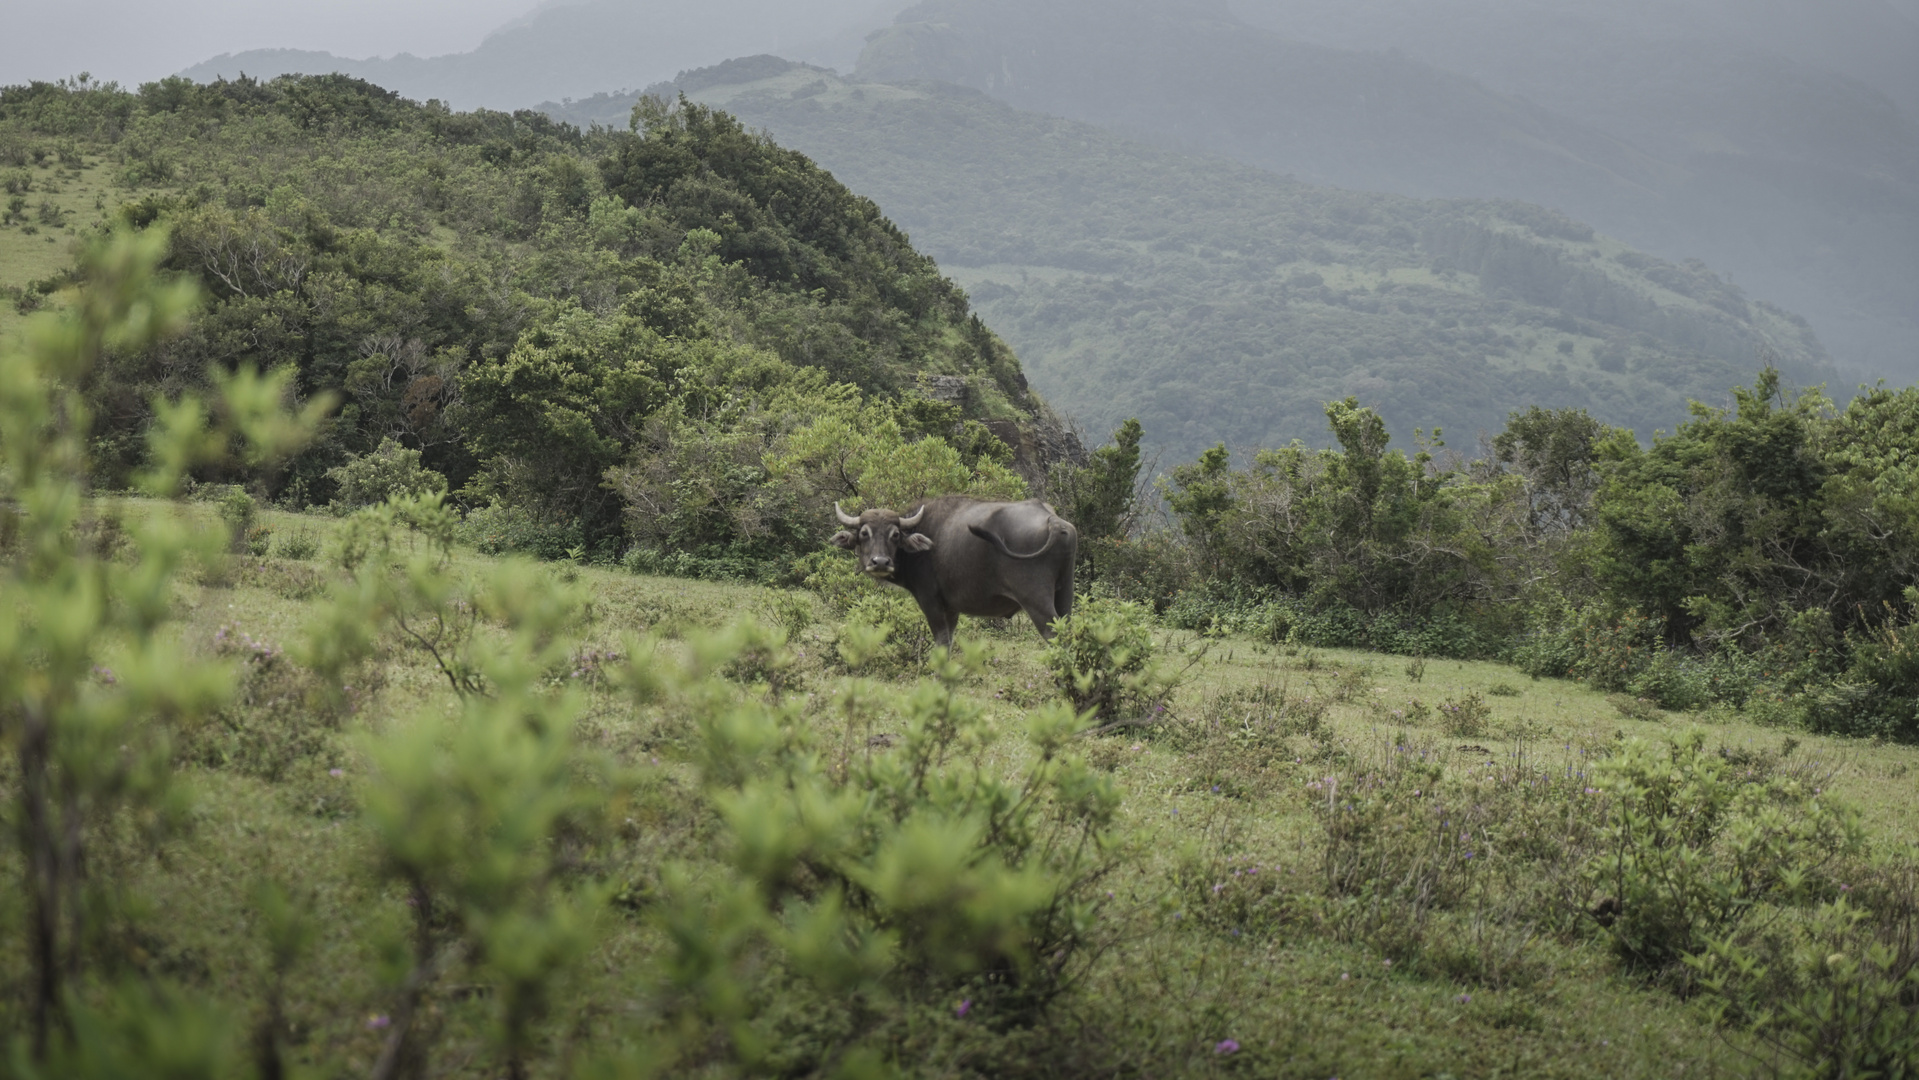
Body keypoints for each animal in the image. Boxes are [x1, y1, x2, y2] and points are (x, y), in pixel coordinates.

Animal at [832, 502, 1082, 652]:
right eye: (864, 533)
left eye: (895, 535)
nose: (881, 562)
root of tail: (1053, 520)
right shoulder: (951, 608)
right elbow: (950, 641)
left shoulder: (930, 600)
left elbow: (942, 642)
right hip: (1065, 594)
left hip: (1036, 599)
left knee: (1055, 636)